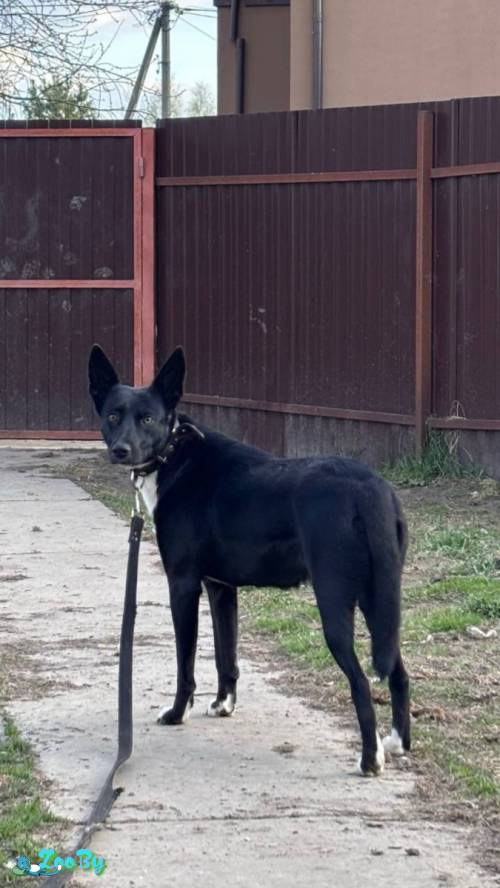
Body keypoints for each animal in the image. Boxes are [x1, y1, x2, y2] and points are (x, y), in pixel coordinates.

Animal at [88, 344, 410, 776]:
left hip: (336, 603)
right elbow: (226, 653)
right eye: (112, 416)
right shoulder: (220, 588)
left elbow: (185, 663)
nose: (120, 450)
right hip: (380, 599)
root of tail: (370, 489)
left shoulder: (183, 585)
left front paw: (176, 713)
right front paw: (224, 704)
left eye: (147, 419)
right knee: (398, 671)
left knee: (360, 682)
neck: (175, 455)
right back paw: (397, 742)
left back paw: (370, 758)